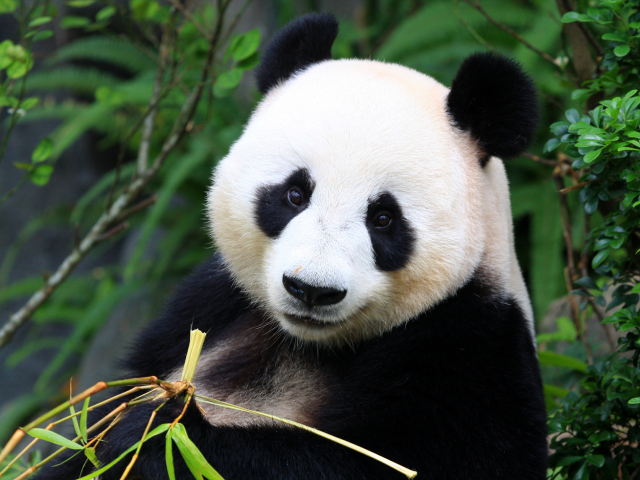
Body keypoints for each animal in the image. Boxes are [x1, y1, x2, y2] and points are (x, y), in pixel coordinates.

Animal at [37, 12, 547, 480]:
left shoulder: (471, 350)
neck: (309, 343)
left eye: (384, 219)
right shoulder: (208, 306)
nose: (312, 291)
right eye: (294, 194)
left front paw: (154, 435)